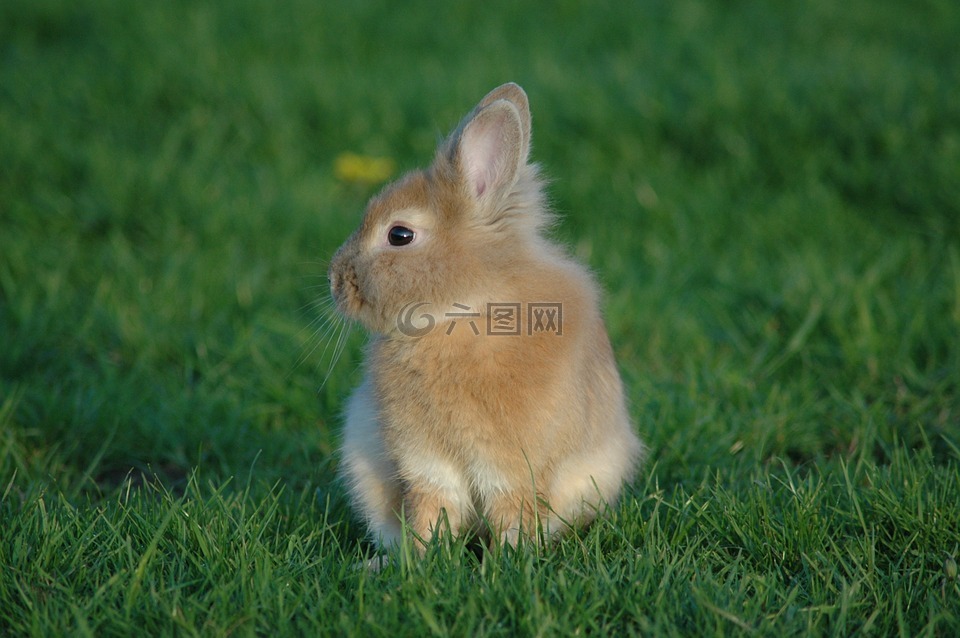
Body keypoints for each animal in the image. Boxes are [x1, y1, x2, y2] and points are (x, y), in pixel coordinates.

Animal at [330, 84, 644, 556]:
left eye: (399, 235)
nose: (334, 280)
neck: (461, 311)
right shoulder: (426, 462)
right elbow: (431, 507)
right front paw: (419, 560)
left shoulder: (511, 465)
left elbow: (509, 510)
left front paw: (508, 561)